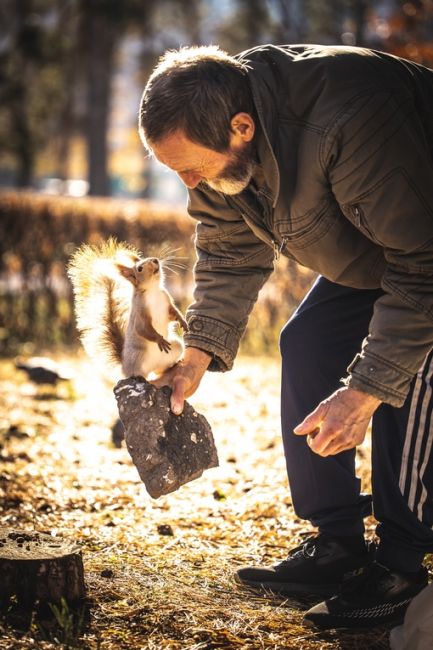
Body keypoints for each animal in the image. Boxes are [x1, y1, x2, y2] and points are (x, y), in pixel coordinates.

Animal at [67, 238, 187, 378]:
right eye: (140, 268)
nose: (155, 260)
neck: (153, 290)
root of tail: (124, 366)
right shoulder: (140, 311)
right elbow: (142, 328)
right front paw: (159, 339)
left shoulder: (166, 300)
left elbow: (173, 313)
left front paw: (183, 321)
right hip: (138, 357)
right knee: (139, 372)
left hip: (176, 347)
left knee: (160, 369)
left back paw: (172, 365)